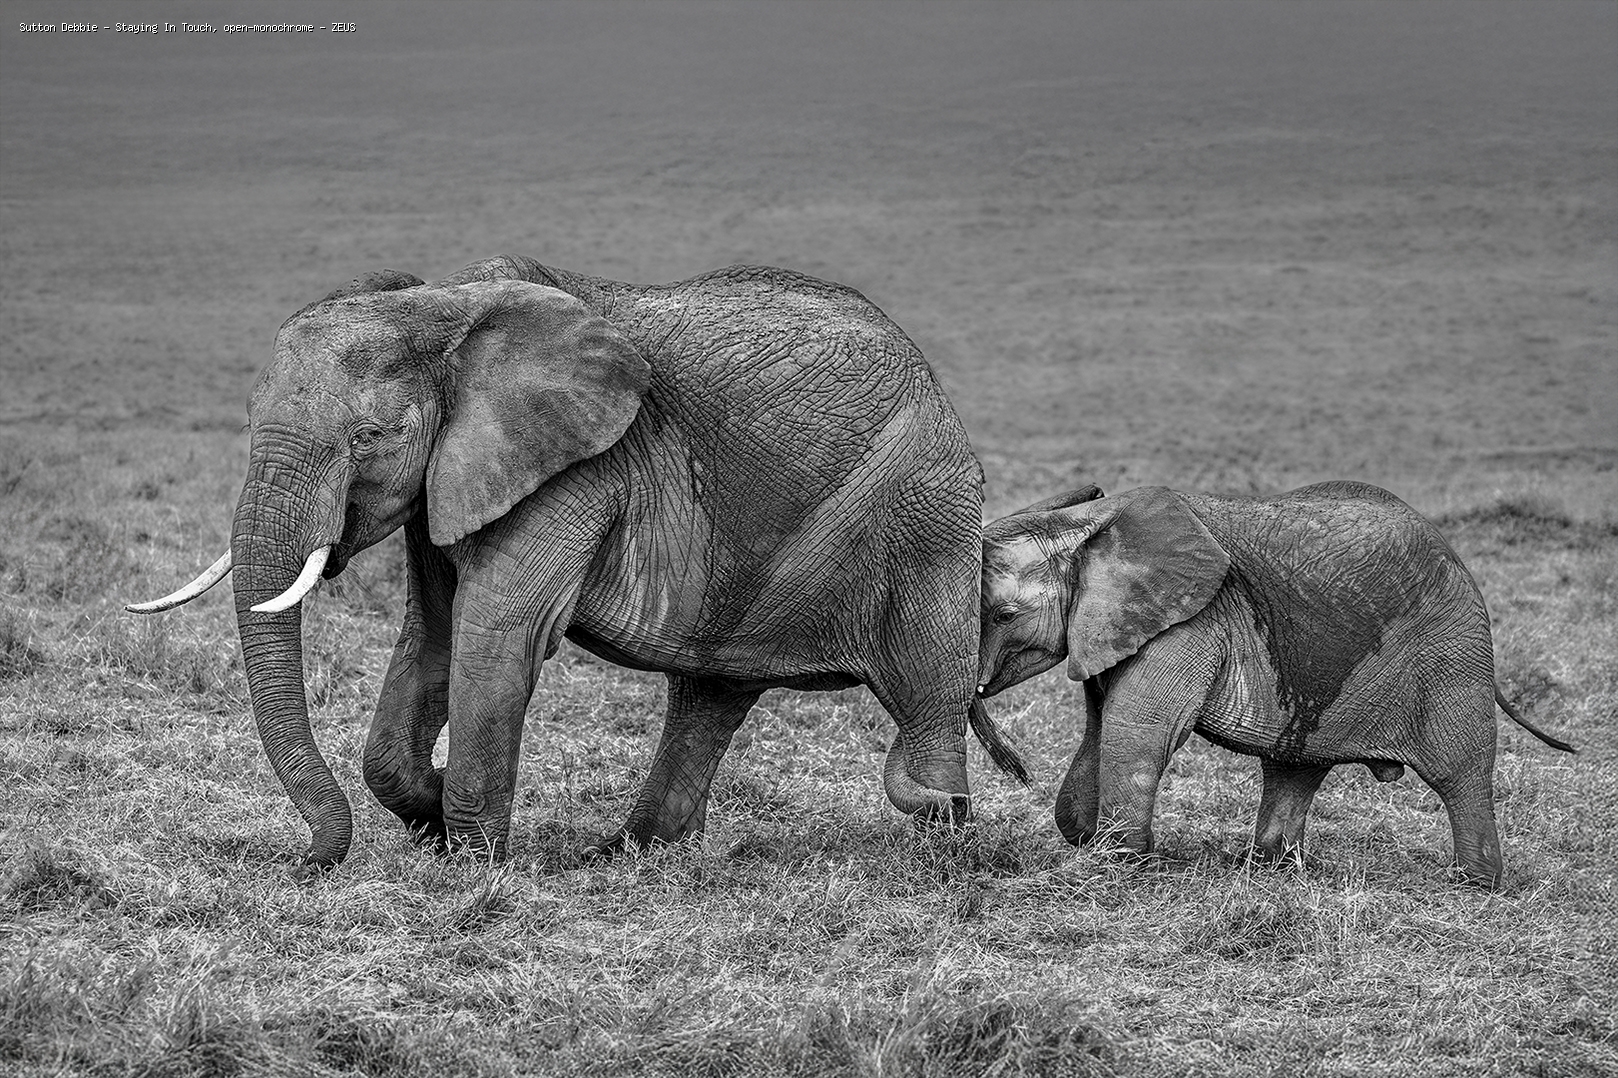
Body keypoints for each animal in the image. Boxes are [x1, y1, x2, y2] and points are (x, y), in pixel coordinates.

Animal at [129, 255, 1023, 879]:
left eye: (370, 438)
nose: (302, 862)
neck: (444, 303)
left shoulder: (578, 469)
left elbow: (497, 634)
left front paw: (472, 864)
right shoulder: (456, 478)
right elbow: (434, 636)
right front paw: (430, 815)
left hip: (925, 514)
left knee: (924, 692)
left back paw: (943, 839)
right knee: (709, 696)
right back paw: (627, 854)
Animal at [975, 480, 1575, 888]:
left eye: (1003, 615)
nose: (1017, 770)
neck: (1086, 522)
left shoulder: (1194, 619)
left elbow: (1138, 731)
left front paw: (1124, 866)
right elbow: (1101, 725)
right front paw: (1089, 841)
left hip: (1453, 653)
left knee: (1460, 770)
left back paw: (1475, 884)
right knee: (1294, 766)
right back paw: (1268, 868)